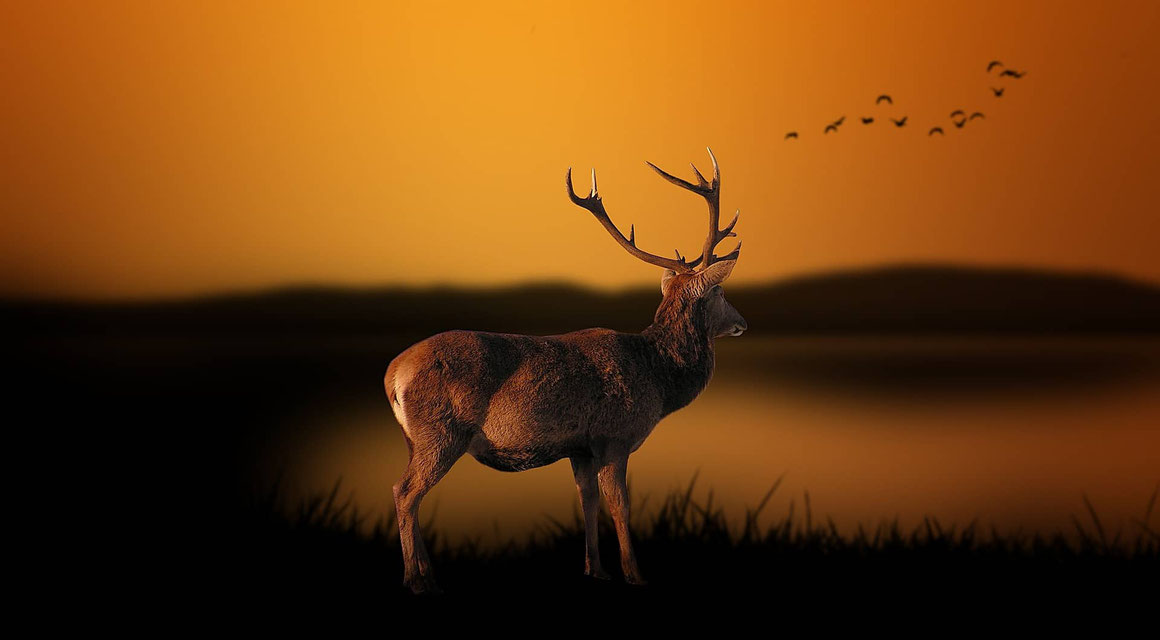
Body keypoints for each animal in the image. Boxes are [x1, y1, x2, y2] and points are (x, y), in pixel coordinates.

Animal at [380, 147, 742, 593]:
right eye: (720, 290)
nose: (742, 322)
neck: (658, 378)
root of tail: (393, 374)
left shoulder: (580, 447)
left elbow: (587, 501)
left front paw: (596, 569)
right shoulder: (614, 436)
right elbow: (620, 506)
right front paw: (635, 574)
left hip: (415, 439)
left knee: (410, 493)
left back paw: (428, 573)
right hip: (440, 432)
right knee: (405, 491)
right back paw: (416, 579)